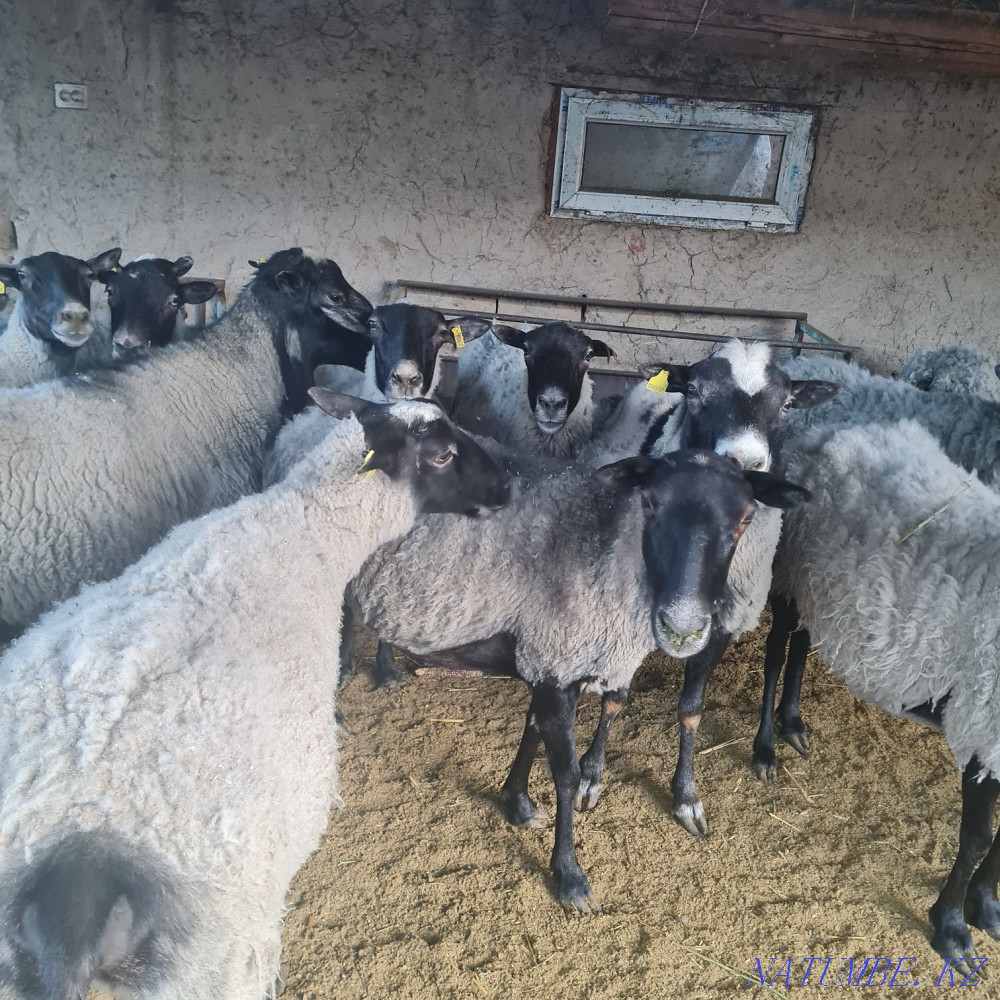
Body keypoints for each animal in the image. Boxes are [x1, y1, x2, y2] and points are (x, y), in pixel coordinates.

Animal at [758, 418, 1000, 971]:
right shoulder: (981, 725)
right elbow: (977, 839)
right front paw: (952, 929)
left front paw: (986, 906)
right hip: (789, 568)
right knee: (778, 650)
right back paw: (765, 747)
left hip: (822, 587)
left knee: (803, 643)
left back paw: (792, 721)